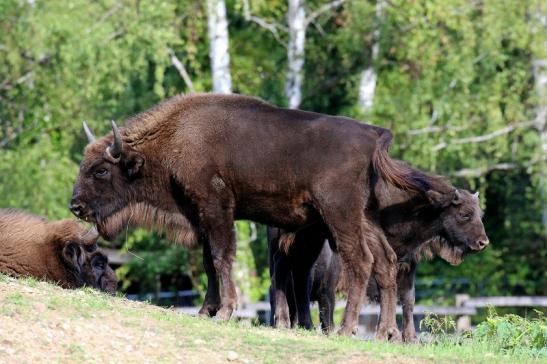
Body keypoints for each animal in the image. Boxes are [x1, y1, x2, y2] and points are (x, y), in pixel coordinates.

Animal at [68, 94, 426, 336]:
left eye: (101, 170)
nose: (75, 206)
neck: (178, 136)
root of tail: (374, 136)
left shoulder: (216, 208)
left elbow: (222, 257)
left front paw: (225, 311)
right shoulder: (200, 215)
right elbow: (209, 263)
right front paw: (205, 311)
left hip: (340, 216)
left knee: (361, 261)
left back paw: (346, 328)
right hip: (365, 219)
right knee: (386, 262)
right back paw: (383, 332)